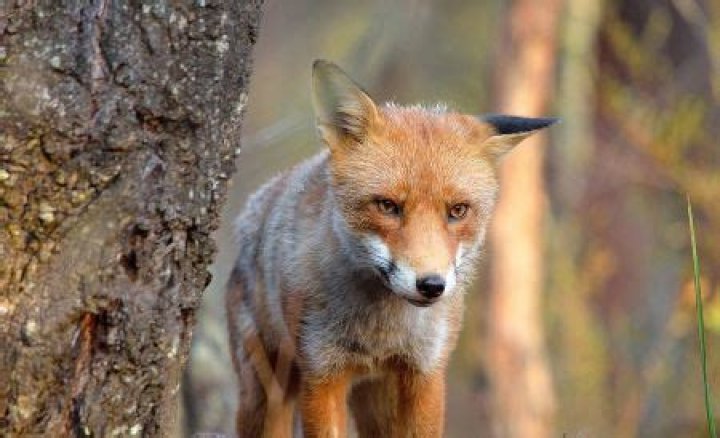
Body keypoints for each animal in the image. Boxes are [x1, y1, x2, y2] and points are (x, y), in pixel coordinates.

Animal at [225, 59, 557, 438]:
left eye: (458, 211)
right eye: (387, 206)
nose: (431, 285)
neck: (382, 333)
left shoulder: (425, 374)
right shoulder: (322, 375)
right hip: (267, 394)